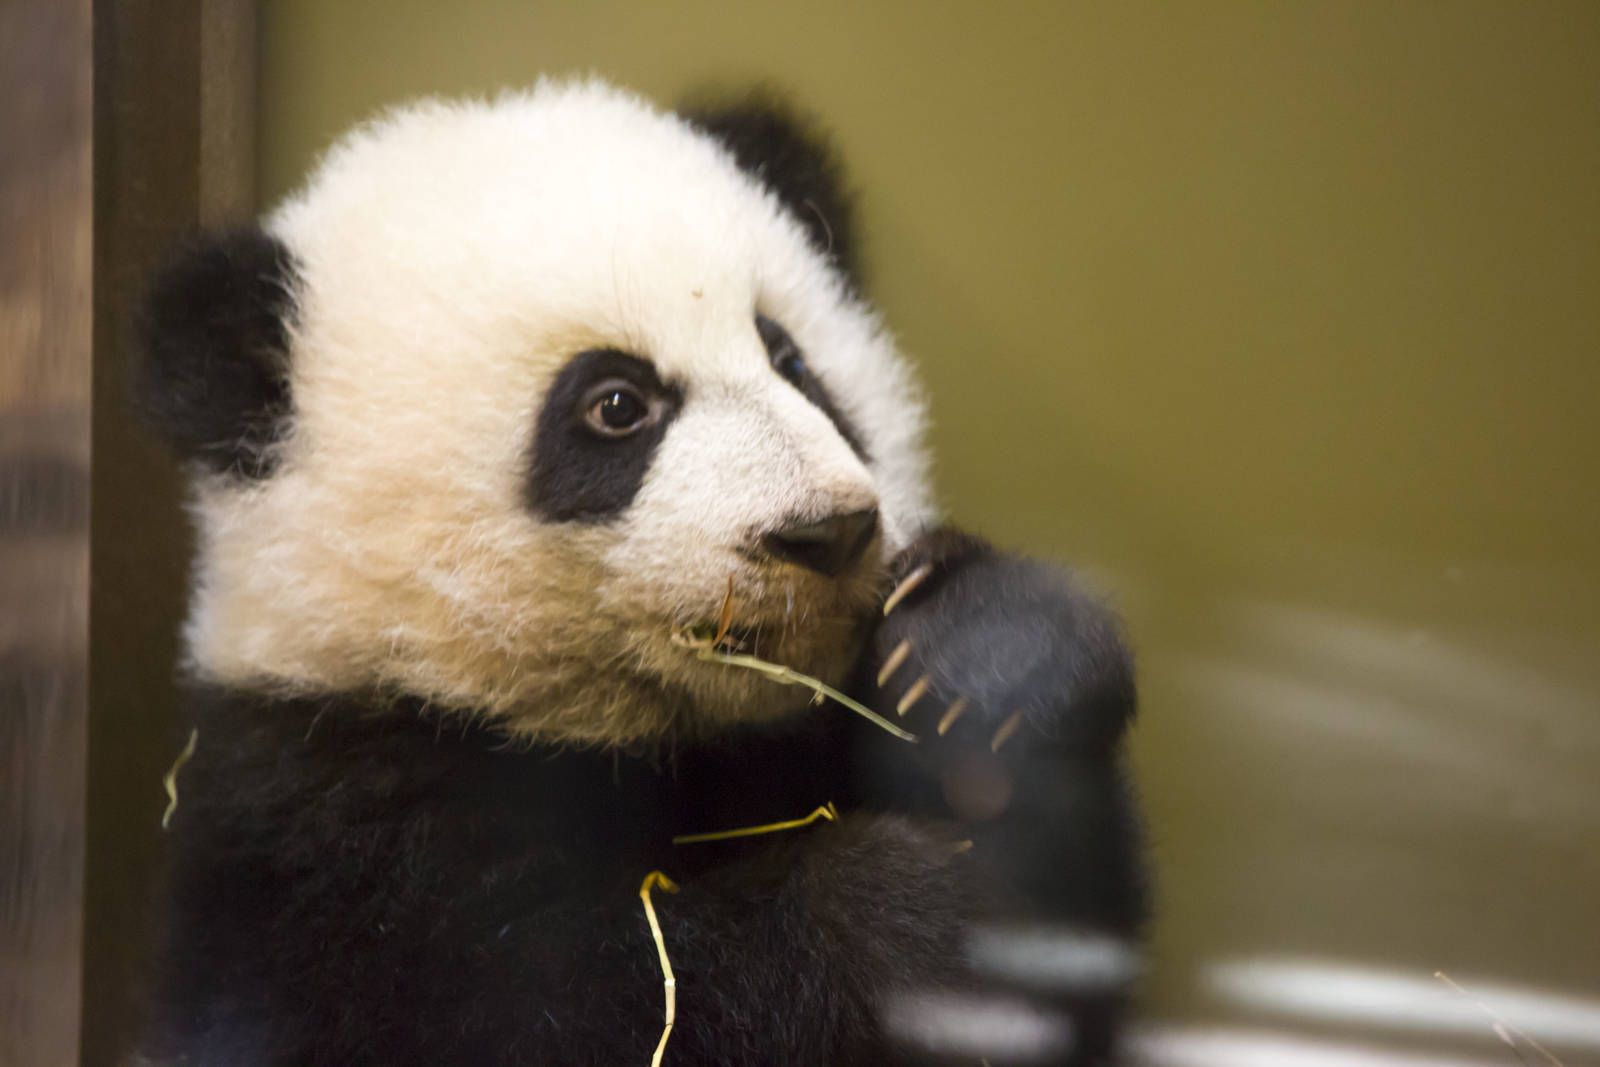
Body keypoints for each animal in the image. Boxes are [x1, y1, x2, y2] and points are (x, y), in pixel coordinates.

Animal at [134, 79, 1147, 1066]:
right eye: (616, 405)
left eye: (792, 361)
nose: (826, 532)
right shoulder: (324, 828)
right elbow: (567, 1007)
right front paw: (912, 922)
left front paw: (977, 657)